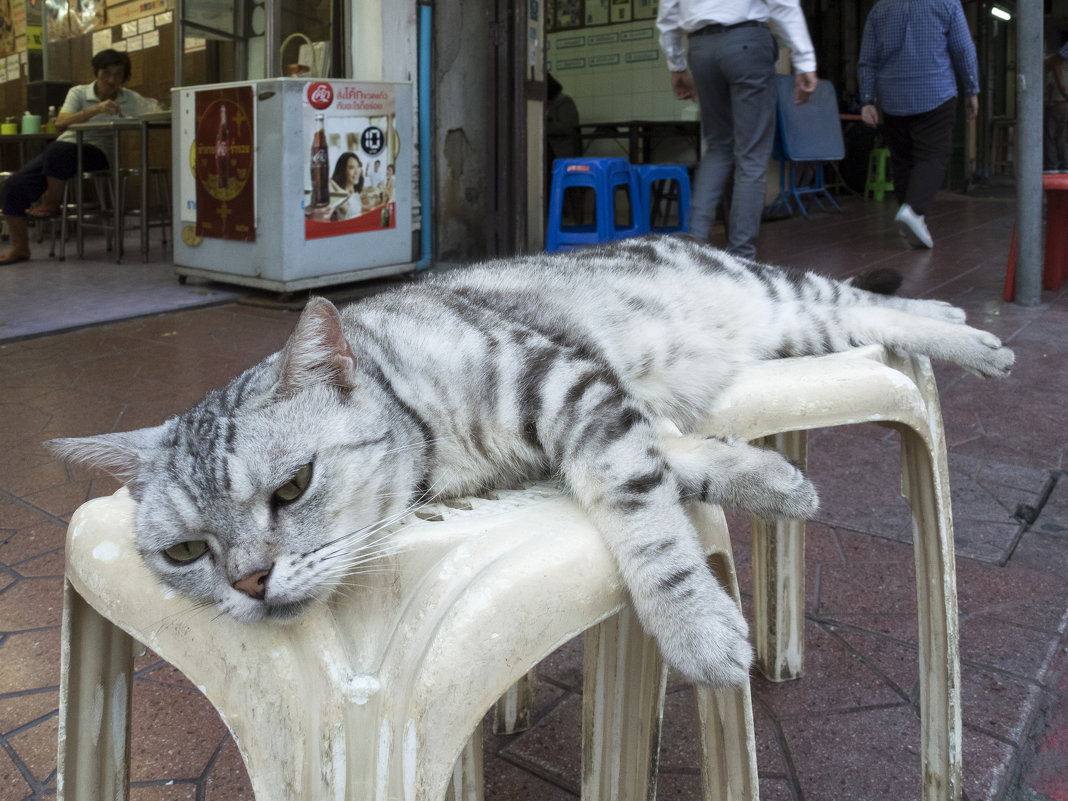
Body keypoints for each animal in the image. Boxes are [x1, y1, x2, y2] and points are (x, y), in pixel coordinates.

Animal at [52, 233, 1016, 692]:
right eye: (186, 553)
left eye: (293, 488)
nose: (250, 582)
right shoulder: (595, 412)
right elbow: (673, 459)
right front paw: (770, 479)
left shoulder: (565, 384)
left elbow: (645, 516)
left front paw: (696, 626)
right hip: (793, 327)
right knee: (863, 307)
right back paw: (951, 316)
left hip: (783, 300)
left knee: (862, 297)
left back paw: (976, 337)